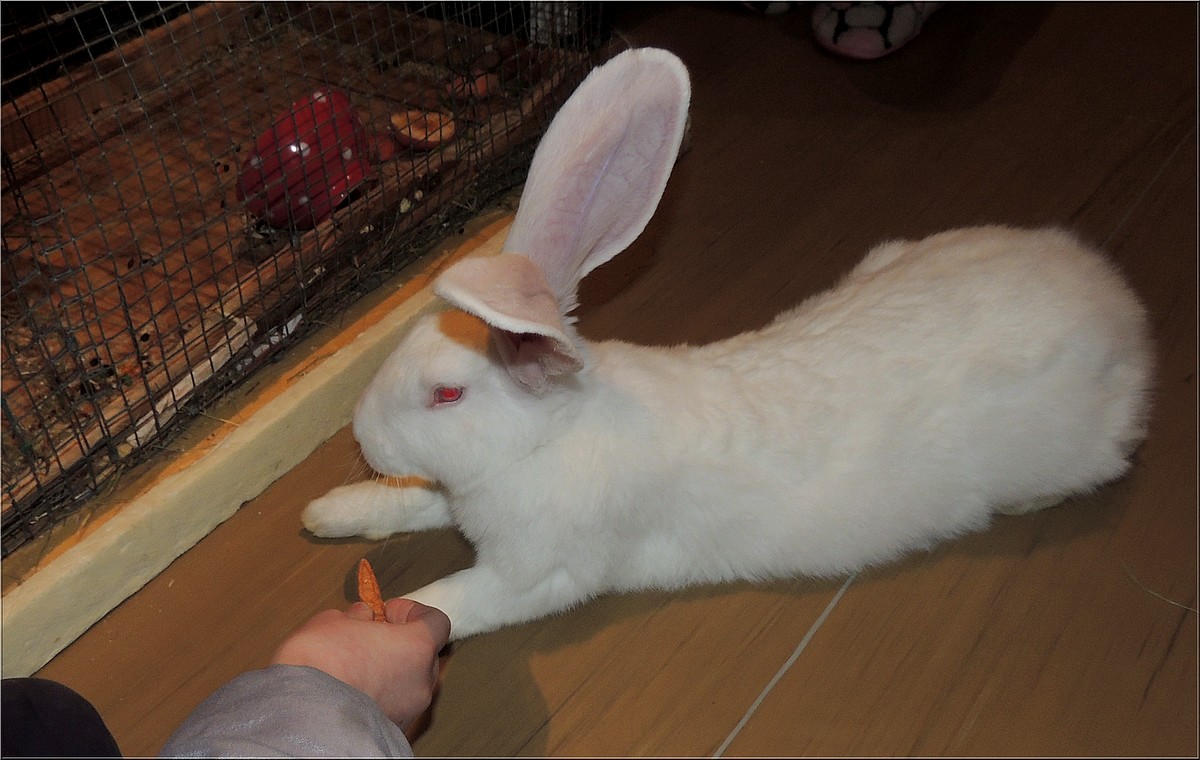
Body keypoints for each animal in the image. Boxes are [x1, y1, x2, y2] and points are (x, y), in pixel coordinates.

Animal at [303, 47, 1153, 640]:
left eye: (446, 394)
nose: (362, 436)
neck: (551, 437)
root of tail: (1118, 307)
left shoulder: (538, 574)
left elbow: (452, 600)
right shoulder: (457, 498)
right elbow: (413, 502)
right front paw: (327, 513)